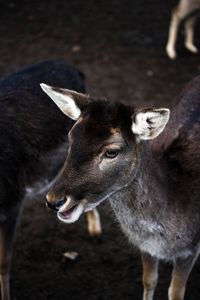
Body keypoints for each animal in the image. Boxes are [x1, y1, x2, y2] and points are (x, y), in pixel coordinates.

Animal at [42, 75, 200, 300]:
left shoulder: (190, 248)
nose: (54, 200)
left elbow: (175, 292)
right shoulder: (146, 247)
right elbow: (148, 281)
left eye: (111, 152)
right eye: (71, 138)